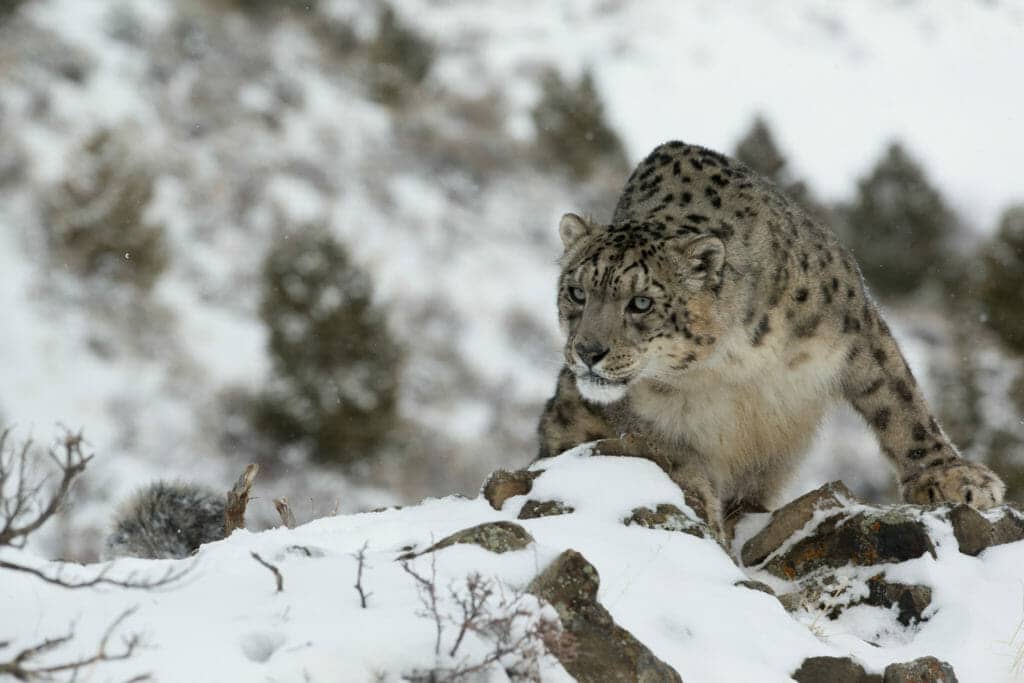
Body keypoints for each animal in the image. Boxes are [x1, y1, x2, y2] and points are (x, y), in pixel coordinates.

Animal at [537, 140, 1005, 542]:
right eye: (576, 292)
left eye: (640, 302)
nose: (587, 352)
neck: (727, 361)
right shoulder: (650, 428)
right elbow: (676, 465)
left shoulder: (854, 325)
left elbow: (899, 399)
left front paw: (952, 477)